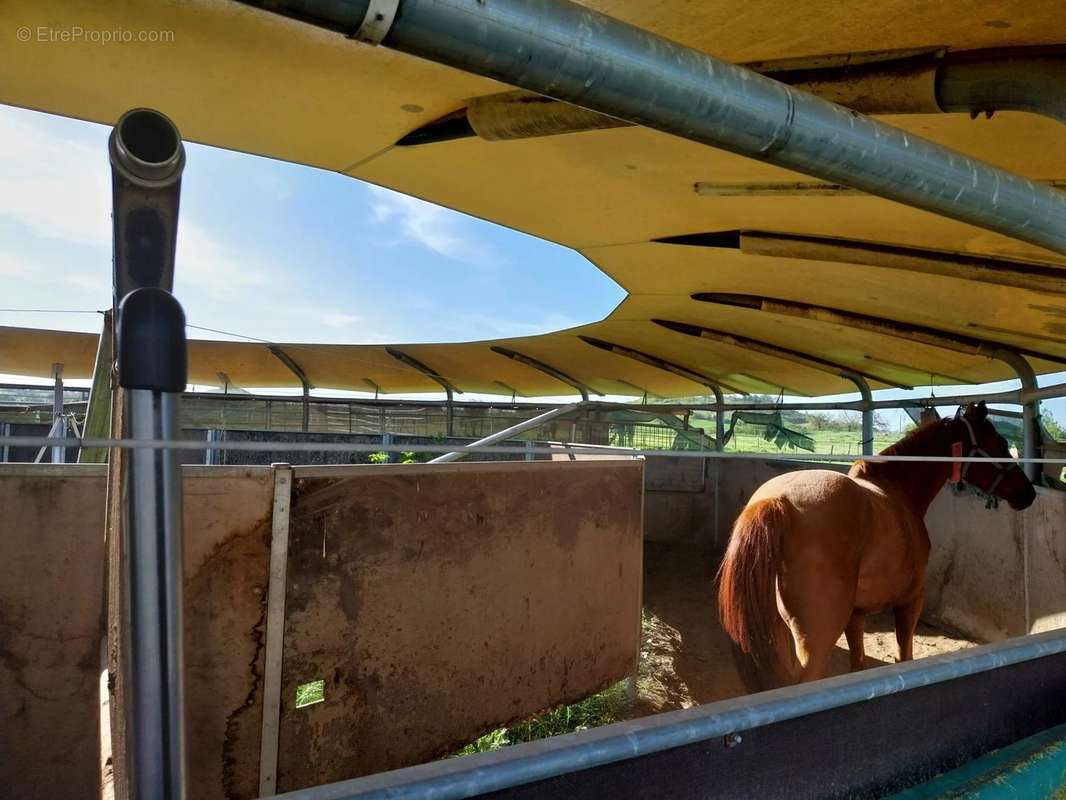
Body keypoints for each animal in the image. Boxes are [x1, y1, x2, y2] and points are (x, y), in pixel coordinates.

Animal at [720, 403, 1027, 691]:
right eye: (999, 444)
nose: (1028, 493)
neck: (898, 490)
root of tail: (777, 502)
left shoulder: (856, 614)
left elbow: (858, 664)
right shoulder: (910, 601)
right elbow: (904, 656)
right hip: (815, 641)